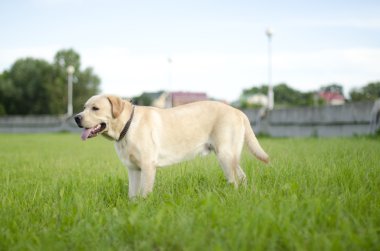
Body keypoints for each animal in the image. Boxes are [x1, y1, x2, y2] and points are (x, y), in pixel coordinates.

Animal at [75, 94, 270, 198]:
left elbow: (144, 193)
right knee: (242, 177)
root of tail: (238, 111)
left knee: (235, 180)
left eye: (95, 108)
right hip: (229, 157)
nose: (76, 117)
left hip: (225, 155)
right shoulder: (133, 169)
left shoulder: (147, 166)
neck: (127, 126)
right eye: (84, 107)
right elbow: (132, 194)